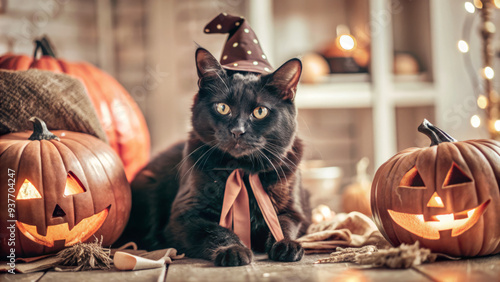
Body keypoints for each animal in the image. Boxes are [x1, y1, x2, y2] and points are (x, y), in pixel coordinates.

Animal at [121, 48, 308, 266]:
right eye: (223, 108)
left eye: (260, 111)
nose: (237, 131)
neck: (241, 170)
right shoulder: (185, 216)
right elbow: (217, 231)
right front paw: (233, 249)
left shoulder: (295, 211)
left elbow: (282, 225)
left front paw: (286, 245)